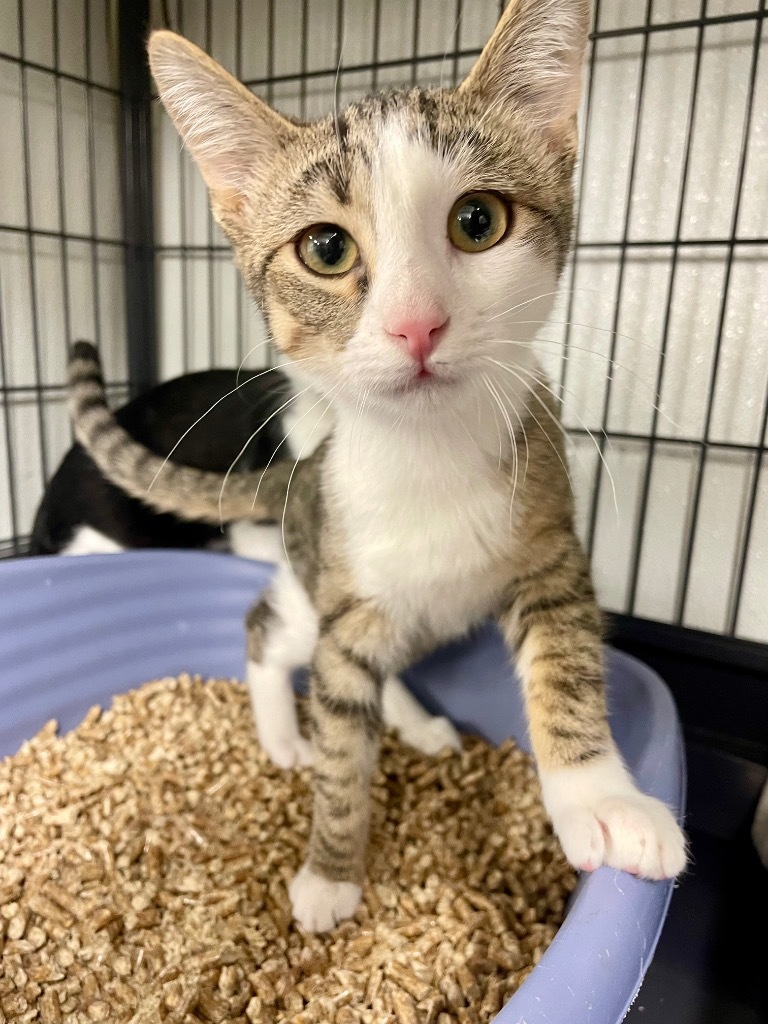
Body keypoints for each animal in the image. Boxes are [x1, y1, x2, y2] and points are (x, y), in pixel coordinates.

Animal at [69, 0, 688, 937]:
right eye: (325, 248)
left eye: (478, 221)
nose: (416, 324)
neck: (425, 456)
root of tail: (298, 471)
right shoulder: (347, 597)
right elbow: (340, 752)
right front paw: (330, 872)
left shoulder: (551, 555)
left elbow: (568, 668)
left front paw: (600, 801)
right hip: (310, 580)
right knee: (272, 633)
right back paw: (287, 731)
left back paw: (414, 721)